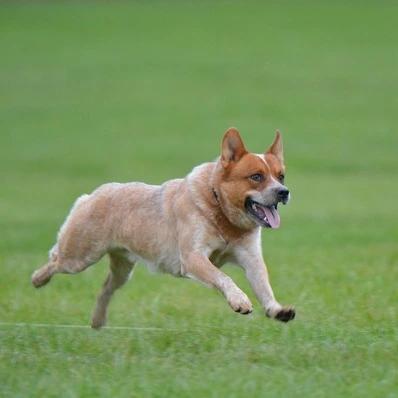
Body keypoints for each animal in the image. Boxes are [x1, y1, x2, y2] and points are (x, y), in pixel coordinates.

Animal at [31, 127, 296, 326]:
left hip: (122, 268)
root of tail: (94, 194)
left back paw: (98, 321)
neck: (221, 212)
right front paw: (239, 301)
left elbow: (263, 285)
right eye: (256, 176)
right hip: (80, 256)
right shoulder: (193, 257)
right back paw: (37, 280)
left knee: (106, 287)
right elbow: (223, 277)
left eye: (281, 175)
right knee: (55, 260)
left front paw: (277, 310)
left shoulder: (250, 257)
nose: (284, 192)